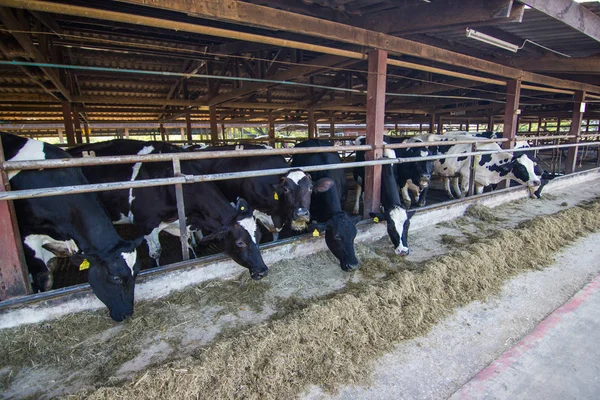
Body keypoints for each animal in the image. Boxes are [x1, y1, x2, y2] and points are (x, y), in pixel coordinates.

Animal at [65, 139, 268, 280]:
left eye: (258, 237)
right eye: (240, 243)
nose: (263, 271)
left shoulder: (184, 221)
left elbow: (188, 246)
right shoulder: (145, 224)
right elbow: (155, 253)